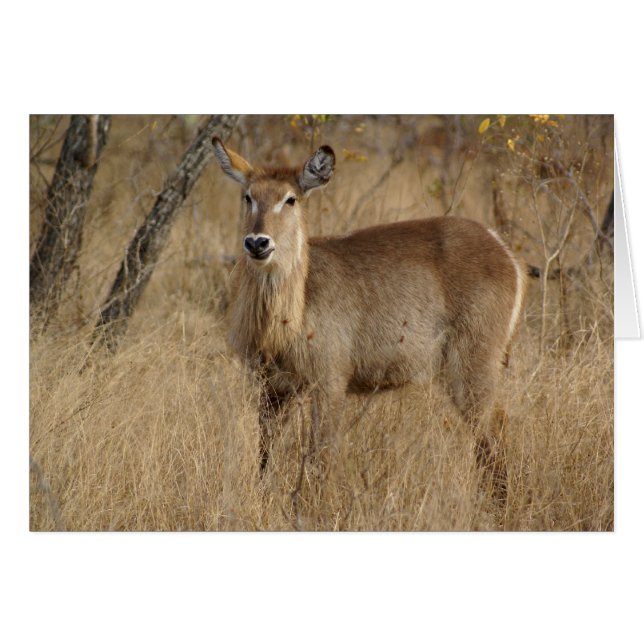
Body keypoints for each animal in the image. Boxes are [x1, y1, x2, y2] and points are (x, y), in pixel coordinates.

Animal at [212, 138, 526, 483]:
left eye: (290, 199)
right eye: (248, 196)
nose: (258, 242)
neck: (287, 316)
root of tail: (503, 249)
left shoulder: (330, 381)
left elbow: (320, 461)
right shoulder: (271, 388)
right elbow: (264, 460)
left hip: (473, 365)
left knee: (493, 437)